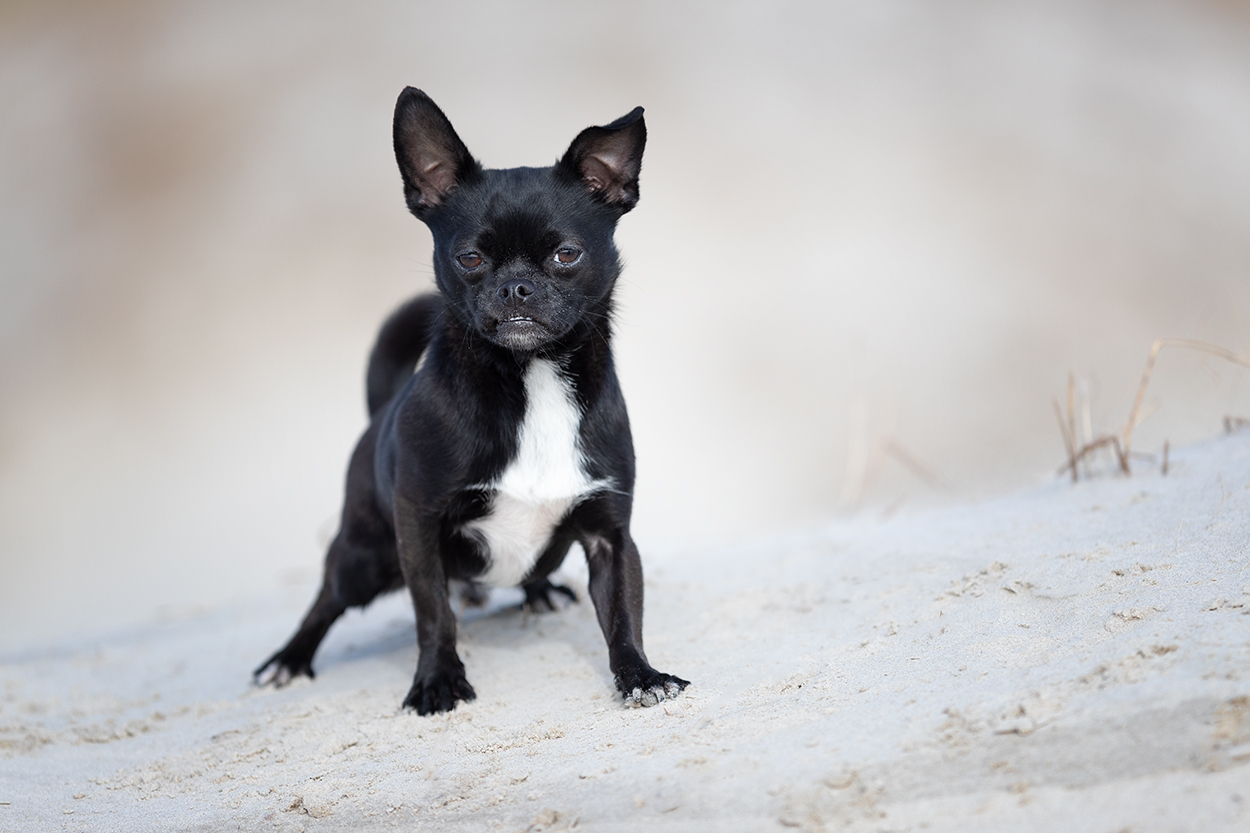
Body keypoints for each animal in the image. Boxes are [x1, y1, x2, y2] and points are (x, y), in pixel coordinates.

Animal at [251, 89, 695, 715]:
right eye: (470, 259)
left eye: (566, 254)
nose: (516, 287)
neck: (532, 377)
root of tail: (381, 411)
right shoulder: (419, 523)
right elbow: (433, 613)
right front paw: (436, 681)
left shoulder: (610, 534)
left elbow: (623, 612)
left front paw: (639, 674)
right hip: (364, 557)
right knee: (328, 598)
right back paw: (288, 661)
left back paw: (540, 591)